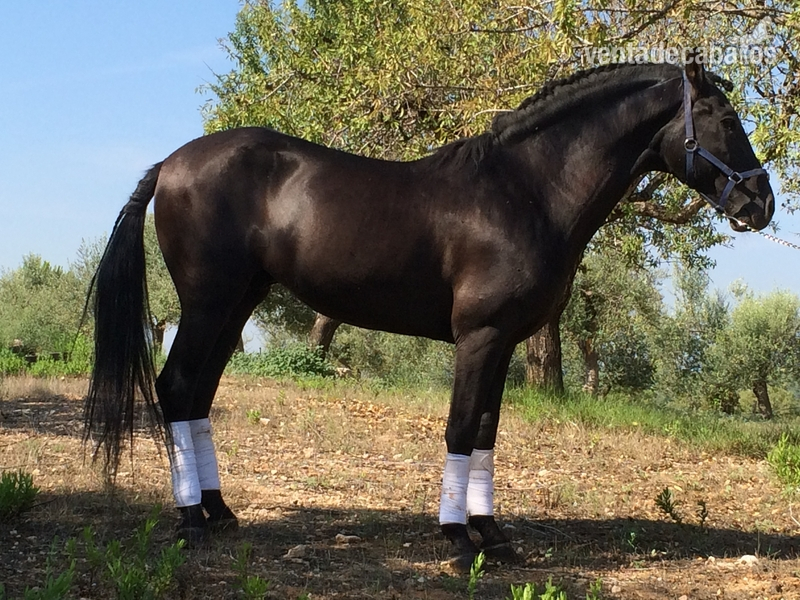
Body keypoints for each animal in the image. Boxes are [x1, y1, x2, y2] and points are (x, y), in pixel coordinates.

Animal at [84, 59, 774, 571]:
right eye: (723, 117)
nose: (760, 202)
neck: (526, 190)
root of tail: (171, 164)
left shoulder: (504, 342)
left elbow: (488, 434)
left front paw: (494, 537)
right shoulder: (480, 338)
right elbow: (462, 429)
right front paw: (457, 539)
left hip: (234, 307)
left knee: (198, 397)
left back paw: (221, 512)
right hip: (208, 305)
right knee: (177, 388)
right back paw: (190, 523)